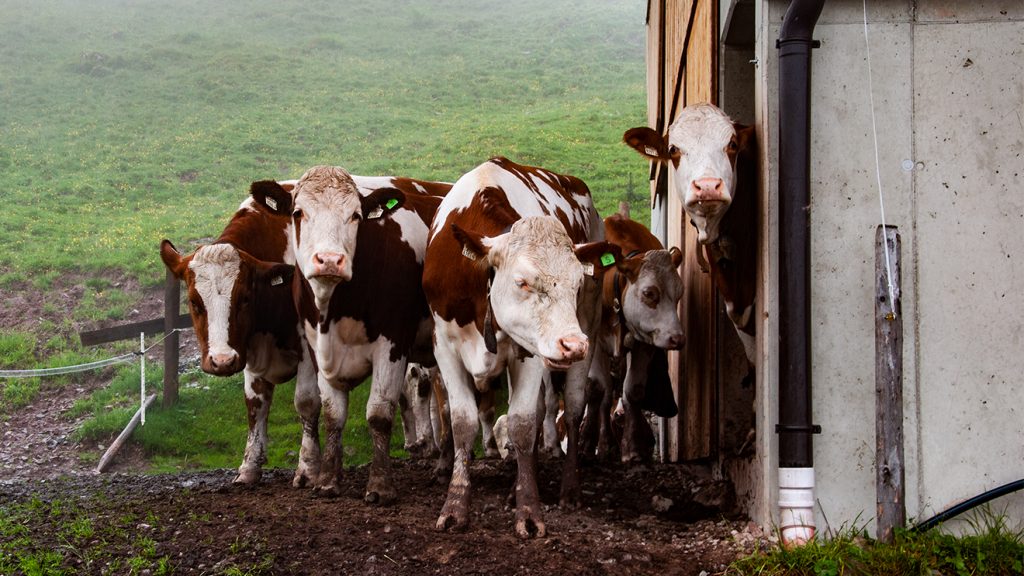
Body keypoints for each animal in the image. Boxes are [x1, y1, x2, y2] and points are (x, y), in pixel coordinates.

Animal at [157, 188, 319, 483]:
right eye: (194, 302)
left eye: (244, 298)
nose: (222, 361)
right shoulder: (249, 351)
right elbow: (255, 404)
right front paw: (249, 467)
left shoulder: (308, 347)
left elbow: (306, 401)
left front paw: (308, 468)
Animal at [249, 166, 446, 502]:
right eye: (298, 213)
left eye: (355, 215)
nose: (329, 260)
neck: (336, 308)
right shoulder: (317, 347)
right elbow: (332, 414)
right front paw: (327, 480)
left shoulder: (392, 343)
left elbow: (379, 413)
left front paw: (380, 485)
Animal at [421, 154, 622, 537]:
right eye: (522, 282)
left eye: (576, 283)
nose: (573, 344)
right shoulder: (444, 347)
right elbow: (463, 422)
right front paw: (455, 506)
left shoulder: (529, 353)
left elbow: (524, 424)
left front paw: (528, 510)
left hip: (580, 331)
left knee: (572, 410)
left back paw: (568, 489)